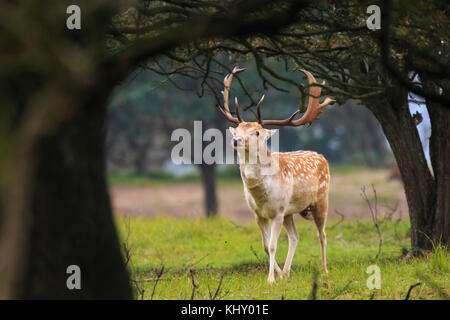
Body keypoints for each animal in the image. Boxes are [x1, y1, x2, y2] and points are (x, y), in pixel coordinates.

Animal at [218, 65, 334, 282]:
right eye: (237, 129)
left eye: (256, 132)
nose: (236, 140)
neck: (261, 196)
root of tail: (321, 156)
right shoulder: (258, 214)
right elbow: (265, 246)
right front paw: (278, 275)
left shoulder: (278, 211)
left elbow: (272, 246)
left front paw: (271, 279)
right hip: (290, 212)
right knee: (295, 237)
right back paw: (287, 273)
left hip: (321, 200)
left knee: (321, 234)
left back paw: (324, 270)